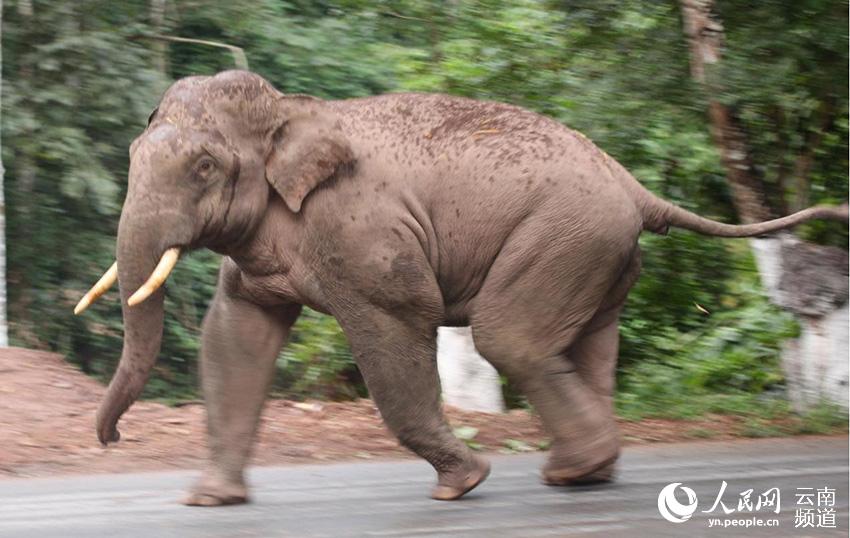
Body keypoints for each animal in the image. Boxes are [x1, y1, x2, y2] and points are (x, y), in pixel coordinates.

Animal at [76, 70, 844, 502]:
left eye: (204, 167)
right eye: (134, 153)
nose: (112, 441)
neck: (297, 110)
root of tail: (634, 186)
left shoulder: (366, 241)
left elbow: (395, 330)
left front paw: (461, 484)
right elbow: (235, 339)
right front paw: (209, 503)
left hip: (566, 235)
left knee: (511, 337)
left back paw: (575, 470)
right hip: (603, 253)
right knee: (585, 343)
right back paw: (585, 474)